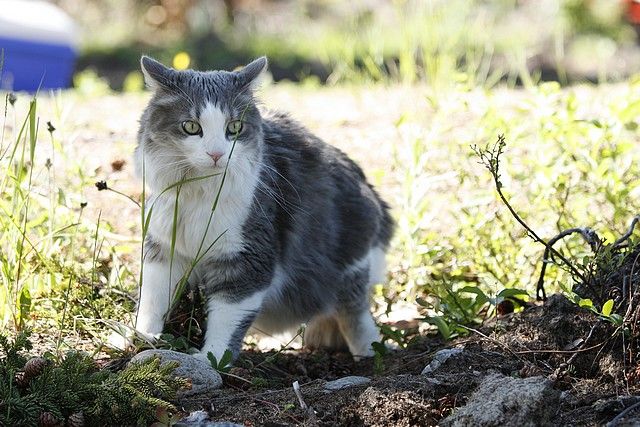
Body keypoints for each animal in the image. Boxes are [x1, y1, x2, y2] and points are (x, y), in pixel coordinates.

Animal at [128, 54, 392, 362]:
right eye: (191, 127)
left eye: (234, 128)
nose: (217, 154)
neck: (199, 194)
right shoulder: (163, 249)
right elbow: (152, 301)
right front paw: (139, 337)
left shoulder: (245, 259)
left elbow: (225, 320)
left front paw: (211, 359)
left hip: (350, 265)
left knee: (355, 316)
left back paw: (370, 353)